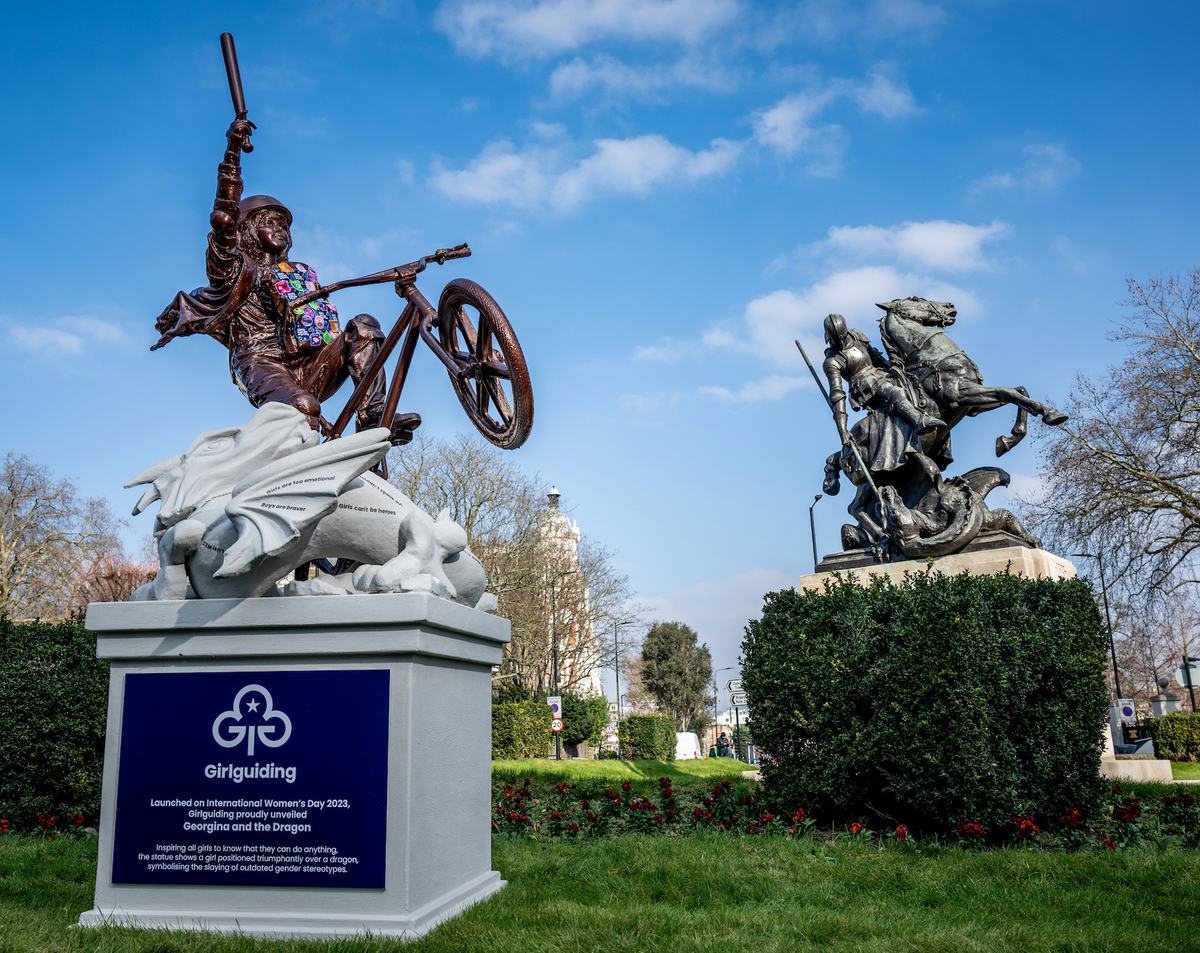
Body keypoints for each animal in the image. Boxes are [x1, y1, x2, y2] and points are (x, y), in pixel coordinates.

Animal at [873, 297, 1070, 460]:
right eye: (914, 298)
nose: (950, 306)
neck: (928, 357)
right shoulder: (958, 394)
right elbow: (1006, 391)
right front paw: (1051, 414)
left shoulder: (972, 407)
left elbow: (1018, 391)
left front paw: (1008, 440)